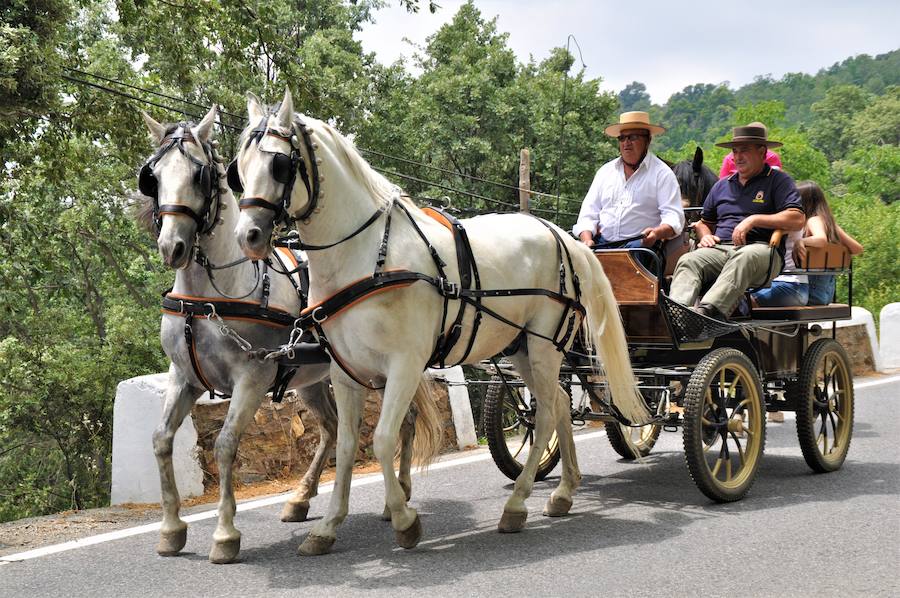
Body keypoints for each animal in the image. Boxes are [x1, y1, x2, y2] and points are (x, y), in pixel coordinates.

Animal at [141, 105, 442, 564]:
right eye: (153, 176)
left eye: (199, 175)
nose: (171, 246)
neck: (209, 295)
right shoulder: (185, 377)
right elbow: (160, 440)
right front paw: (172, 529)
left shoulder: (252, 377)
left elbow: (226, 445)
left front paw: (225, 535)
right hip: (313, 379)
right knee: (333, 428)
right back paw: (301, 498)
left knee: (401, 422)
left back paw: (400, 497)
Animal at [229, 90, 644, 556]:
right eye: (239, 169)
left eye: (280, 165)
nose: (248, 236)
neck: (366, 254)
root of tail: (562, 236)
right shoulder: (345, 371)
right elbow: (348, 445)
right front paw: (328, 526)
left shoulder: (405, 364)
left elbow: (383, 439)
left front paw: (404, 519)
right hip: (521, 348)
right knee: (555, 403)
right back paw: (564, 491)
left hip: (543, 346)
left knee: (546, 414)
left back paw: (518, 504)